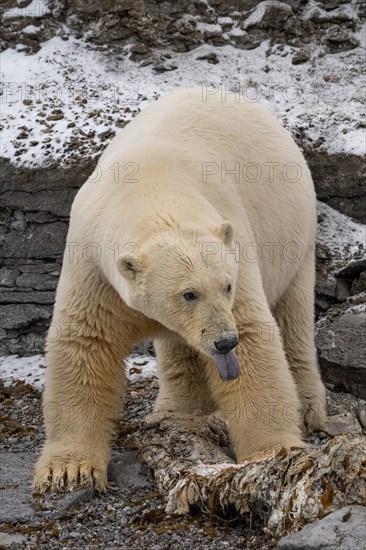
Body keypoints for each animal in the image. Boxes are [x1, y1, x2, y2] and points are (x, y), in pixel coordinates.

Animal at [33, 88, 326, 494]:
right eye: (188, 294)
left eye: (227, 286)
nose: (224, 341)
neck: (153, 189)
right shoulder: (93, 262)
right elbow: (86, 341)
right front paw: (68, 470)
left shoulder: (234, 243)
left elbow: (255, 337)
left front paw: (274, 451)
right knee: (180, 348)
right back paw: (178, 412)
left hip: (294, 235)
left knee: (292, 315)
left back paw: (308, 408)